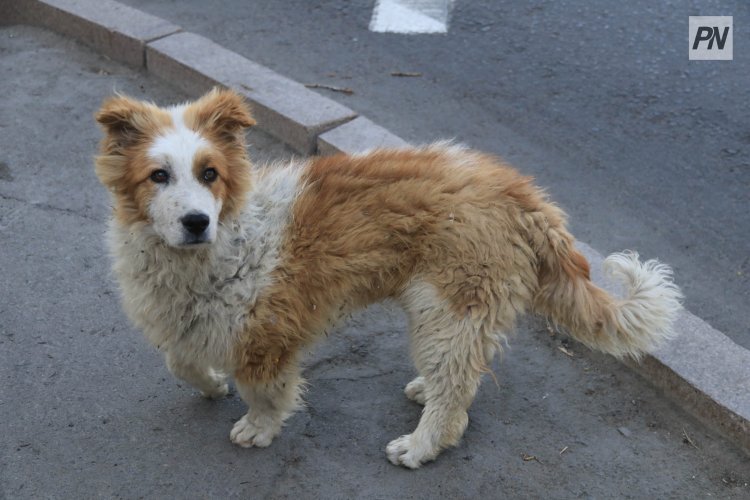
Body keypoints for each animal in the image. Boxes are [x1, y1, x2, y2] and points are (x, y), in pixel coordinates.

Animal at [95, 89, 688, 468]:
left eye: (210, 173)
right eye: (158, 176)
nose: (197, 221)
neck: (228, 234)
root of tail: (524, 197)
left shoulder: (270, 328)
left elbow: (263, 388)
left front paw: (258, 428)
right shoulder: (192, 318)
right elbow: (180, 360)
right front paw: (212, 384)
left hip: (448, 307)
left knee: (455, 397)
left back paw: (420, 445)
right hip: (451, 313)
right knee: (463, 376)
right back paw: (427, 390)